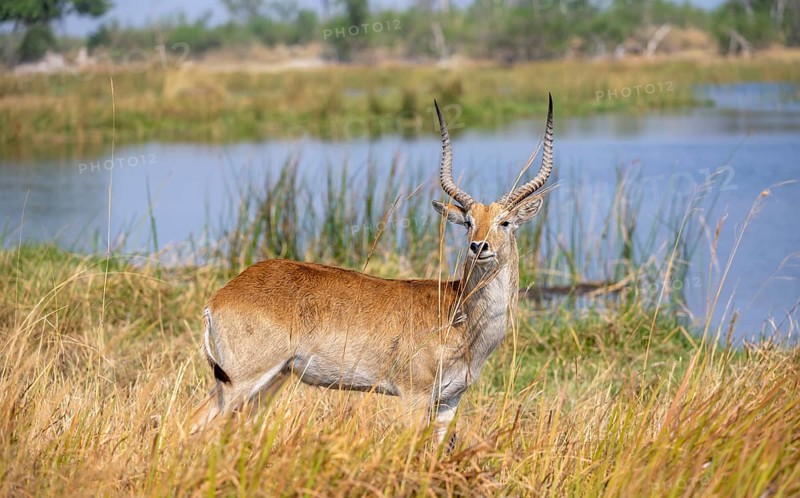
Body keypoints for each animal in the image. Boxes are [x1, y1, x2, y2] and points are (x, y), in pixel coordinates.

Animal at [192, 95, 554, 447]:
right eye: (468, 222)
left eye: (504, 222)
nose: (479, 247)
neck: (457, 311)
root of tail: (220, 297)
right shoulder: (413, 396)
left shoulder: (449, 401)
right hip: (242, 380)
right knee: (199, 422)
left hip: (270, 380)